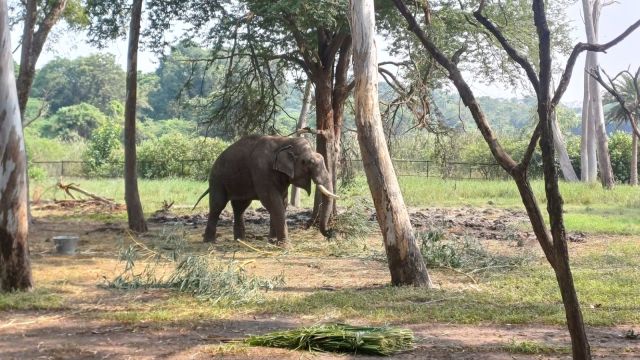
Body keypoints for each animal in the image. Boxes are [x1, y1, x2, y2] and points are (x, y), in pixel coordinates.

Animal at [191, 135, 338, 245]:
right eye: (309, 162)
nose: (331, 233)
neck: (284, 141)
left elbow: (282, 201)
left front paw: (272, 241)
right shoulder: (261, 171)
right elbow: (272, 201)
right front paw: (285, 246)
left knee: (240, 207)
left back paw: (240, 240)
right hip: (217, 179)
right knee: (218, 205)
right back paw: (209, 241)